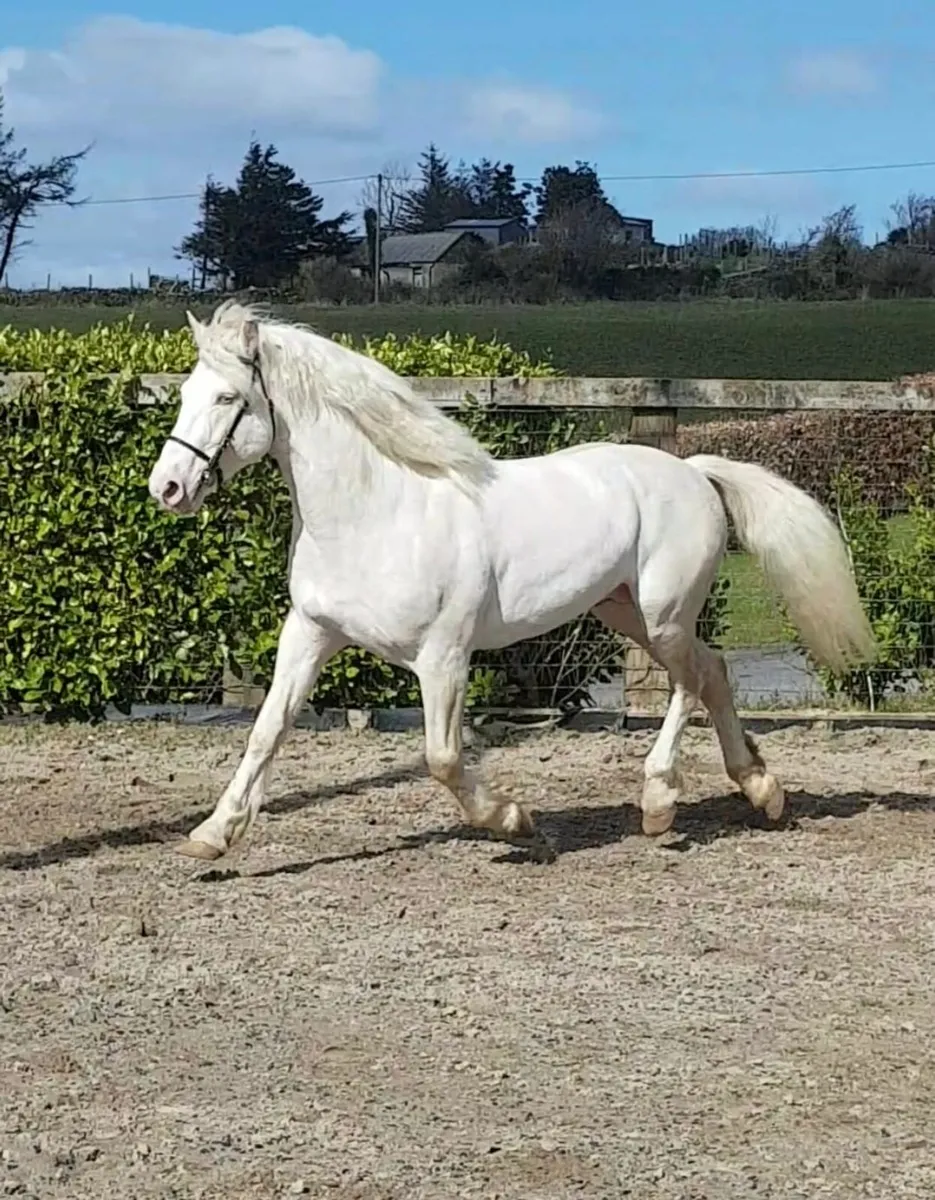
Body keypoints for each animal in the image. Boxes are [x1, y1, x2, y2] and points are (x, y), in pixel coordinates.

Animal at [147, 300, 876, 862]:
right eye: (182, 395)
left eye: (228, 398)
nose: (168, 488)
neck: (375, 512)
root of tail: (694, 471)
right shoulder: (311, 633)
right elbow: (266, 730)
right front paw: (212, 835)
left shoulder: (442, 656)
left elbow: (442, 757)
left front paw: (515, 821)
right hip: (624, 612)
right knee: (714, 671)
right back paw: (760, 791)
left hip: (663, 613)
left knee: (691, 681)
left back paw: (659, 800)